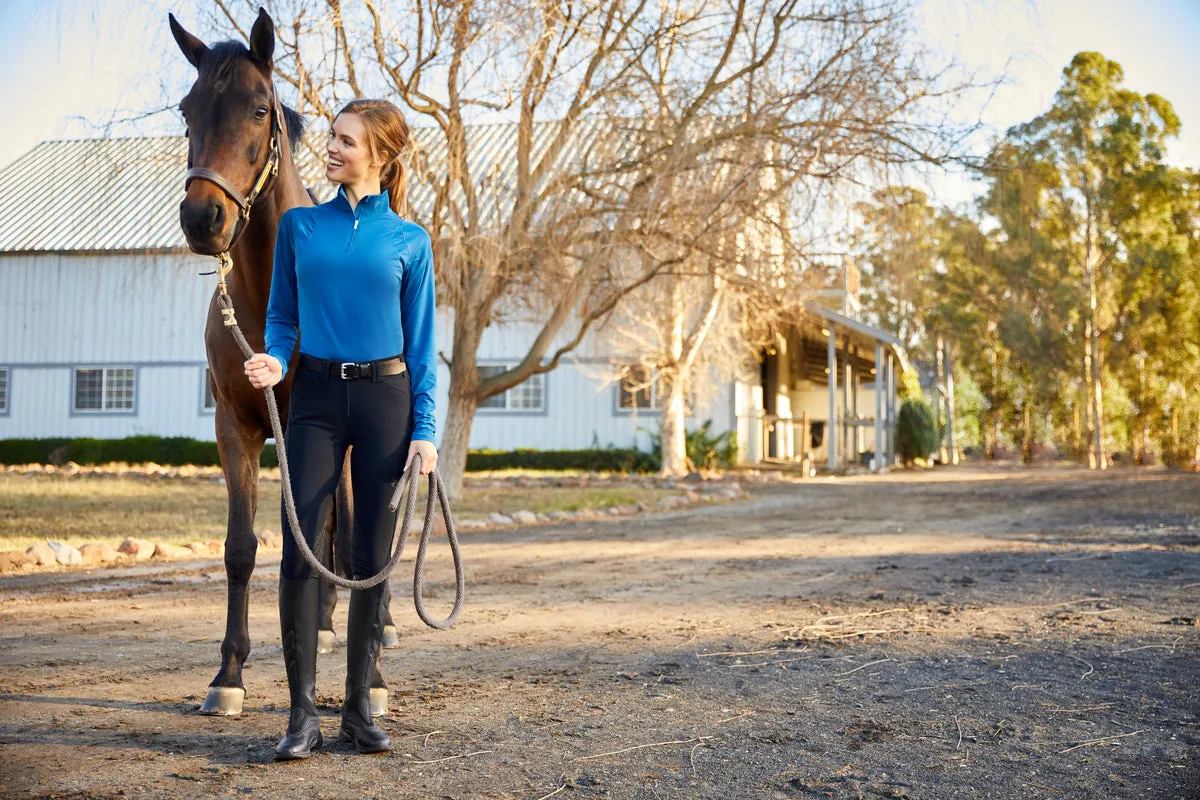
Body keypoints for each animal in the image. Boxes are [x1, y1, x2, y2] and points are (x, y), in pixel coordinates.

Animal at [169, 7, 396, 719]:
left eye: (259, 108)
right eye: (187, 110)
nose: (203, 217)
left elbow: (342, 535)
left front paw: (371, 678)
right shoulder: (237, 427)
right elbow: (243, 547)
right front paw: (228, 676)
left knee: (357, 532)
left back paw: (378, 627)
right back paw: (323, 625)